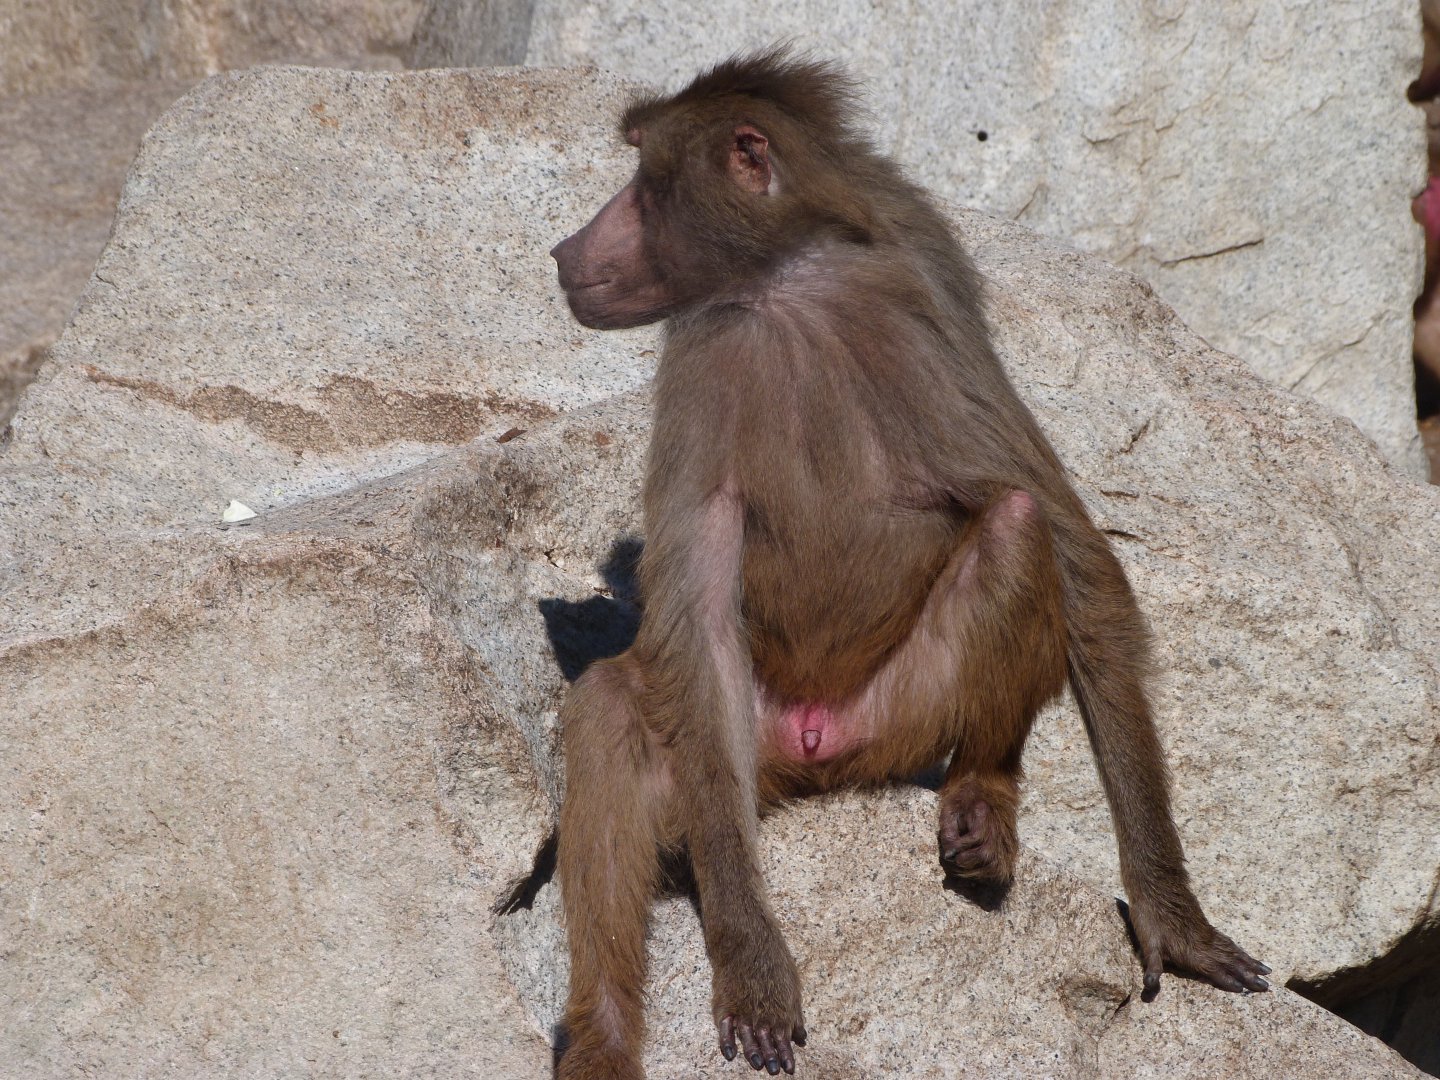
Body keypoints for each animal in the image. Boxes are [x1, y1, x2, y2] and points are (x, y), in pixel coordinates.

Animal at [547, 49, 1269, 1079]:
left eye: (645, 181)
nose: (565, 252)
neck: (788, 295)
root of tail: (812, 754)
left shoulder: (920, 327)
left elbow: (1074, 548)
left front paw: (1171, 913)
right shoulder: (701, 367)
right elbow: (692, 607)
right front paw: (752, 961)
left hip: (901, 721)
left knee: (1015, 525)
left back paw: (983, 797)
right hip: (740, 754)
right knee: (615, 703)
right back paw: (604, 1039)